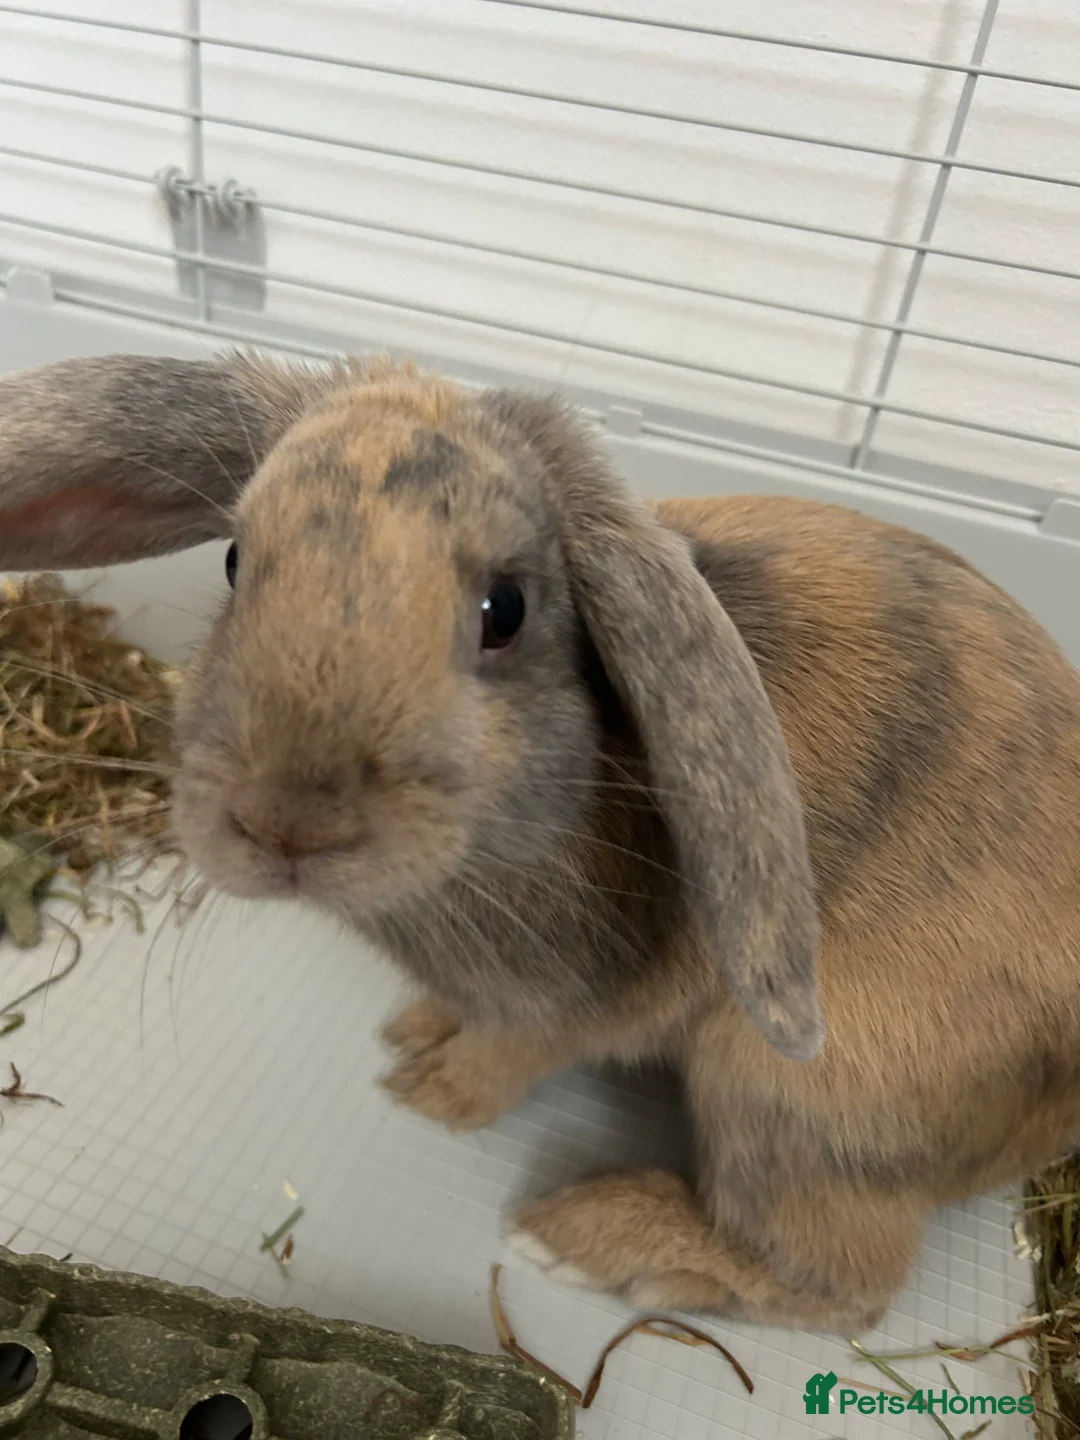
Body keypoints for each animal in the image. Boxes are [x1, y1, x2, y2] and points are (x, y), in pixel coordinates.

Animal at [3, 350, 1080, 1334]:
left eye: (506, 610)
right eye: (234, 562)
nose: (284, 826)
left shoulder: (571, 1003)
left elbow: (509, 1056)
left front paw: (429, 1091)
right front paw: (416, 1033)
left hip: (796, 1100)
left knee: (841, 1286)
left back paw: (593, 1238)